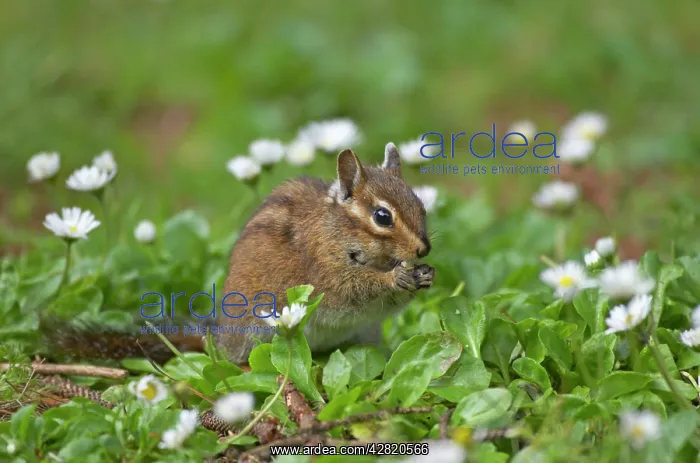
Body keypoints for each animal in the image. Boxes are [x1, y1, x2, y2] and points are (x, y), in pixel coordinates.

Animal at [44, 143, 434, 365]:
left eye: (420, 204)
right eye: (382, 216)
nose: (424, 248)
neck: (338, 231)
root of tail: (217, 338)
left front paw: (425, 272)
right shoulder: (325, 272)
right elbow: (355, 290)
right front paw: (398, 276)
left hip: (366, 334)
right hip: (256, 332)